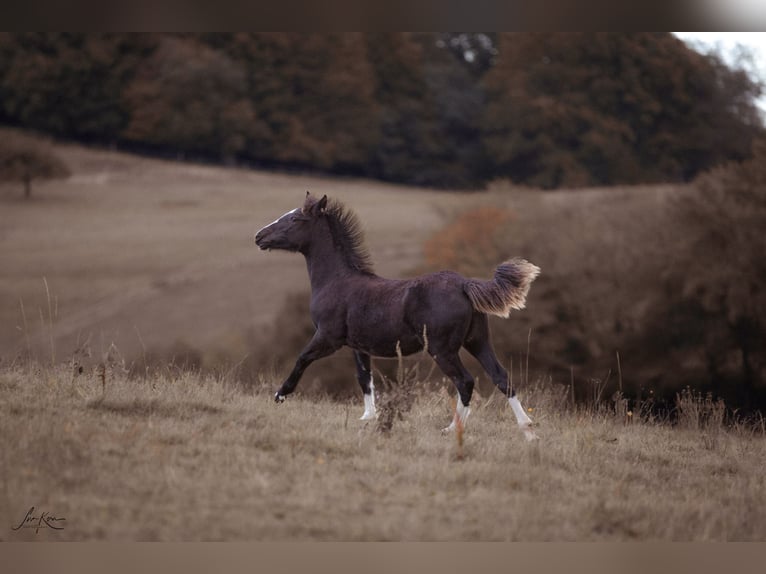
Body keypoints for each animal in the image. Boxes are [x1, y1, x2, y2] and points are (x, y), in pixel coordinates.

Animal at [254, 192, 540, 438]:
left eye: (295, 219)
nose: (259, 236)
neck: (337, 281)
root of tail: (464, 284)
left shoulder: (328, 337)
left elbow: (302, 358)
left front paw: (280, 395)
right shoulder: (358, 345)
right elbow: (365, 378)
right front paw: (368, 418)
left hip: (442, 349)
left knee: (465, 381)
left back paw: (452, 429)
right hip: (477, 340)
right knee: (501, 377)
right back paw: (528, 431)